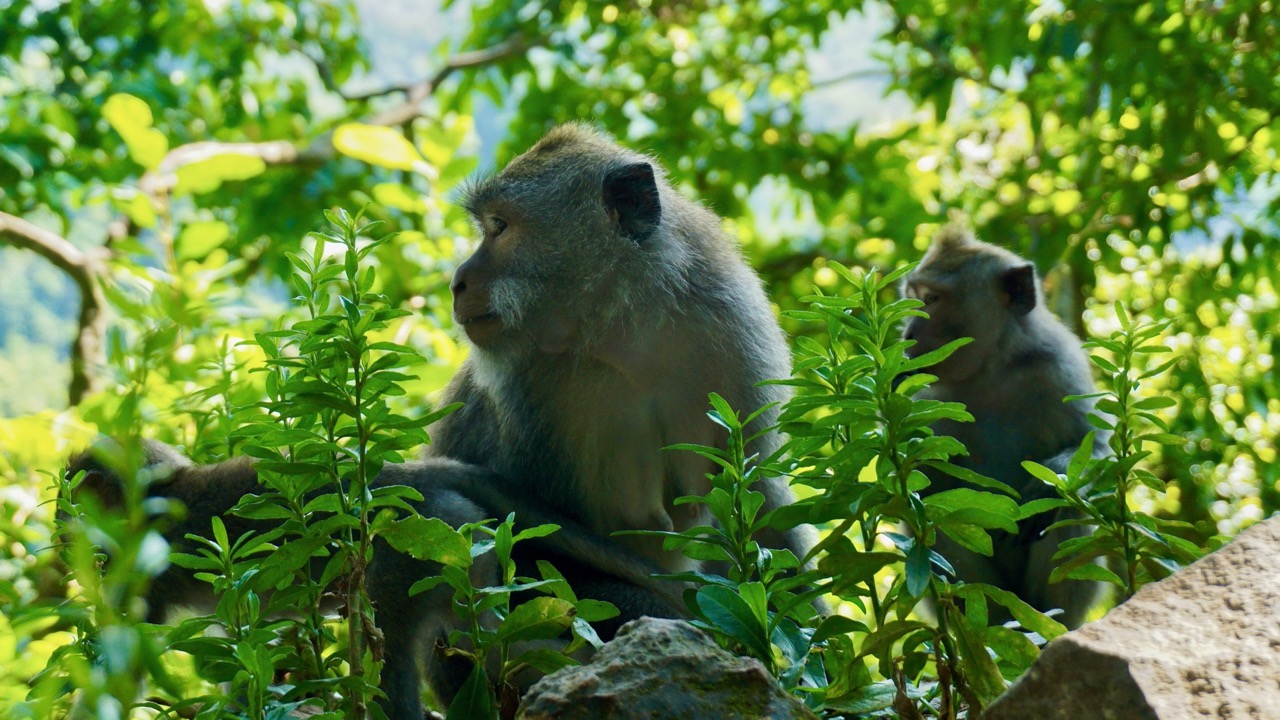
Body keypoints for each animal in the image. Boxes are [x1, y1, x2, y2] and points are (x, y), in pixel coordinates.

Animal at [64, 439, 683, 720]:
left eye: (74, 505)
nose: (65, 538)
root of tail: (415, 474)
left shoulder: (141, 559)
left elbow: (128, 651)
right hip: (467, 551)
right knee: (486, 635)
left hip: (409, 556)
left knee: (394, 643)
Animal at [900, 227, 1107, 628]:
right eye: (914, 299)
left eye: (931, 299)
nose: (907, 333)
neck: (990, 371)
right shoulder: (923, 396)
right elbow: (924, 487)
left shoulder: (1060, 366)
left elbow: (1097, 449)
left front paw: (1052, 477)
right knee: (937, 516)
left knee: (1066, 509)